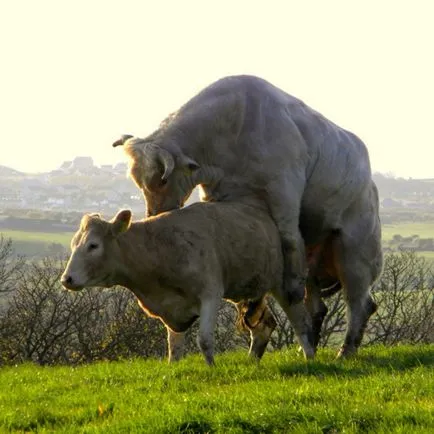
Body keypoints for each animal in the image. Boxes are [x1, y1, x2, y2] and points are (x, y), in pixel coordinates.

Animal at [112, 75, 384, 360]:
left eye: (162, 180)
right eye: (139, 183)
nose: (154, 214)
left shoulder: (283, 198)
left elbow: (289, 245)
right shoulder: (226, 201)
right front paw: (254, 318)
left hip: (354, 251)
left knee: (360, 303)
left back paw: (345, 351)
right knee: (319, 306)